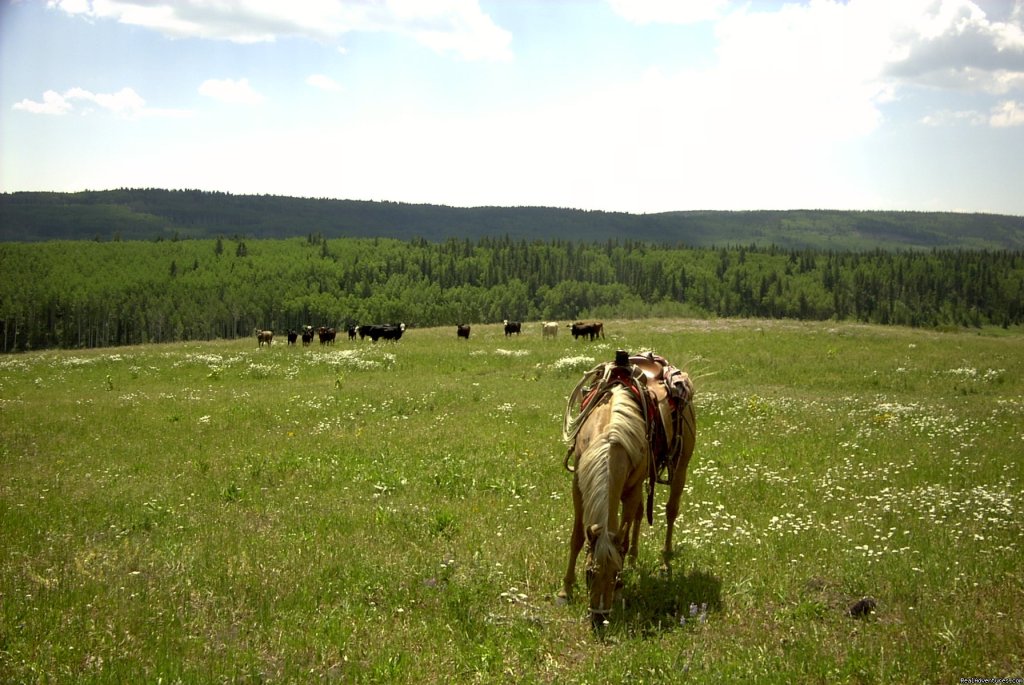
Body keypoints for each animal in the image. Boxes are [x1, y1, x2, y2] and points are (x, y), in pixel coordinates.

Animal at [561, 352, 696, 626]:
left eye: (615, 576)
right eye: (589, 573)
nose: (600, 618)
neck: (610, 436)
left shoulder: (631, 489)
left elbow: (622, 535)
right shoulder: (578, 489)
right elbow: (577, 537)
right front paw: (565, 590)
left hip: (681, 466)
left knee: (670, 511)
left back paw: (665, 562)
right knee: (639, 515)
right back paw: (634, 557)